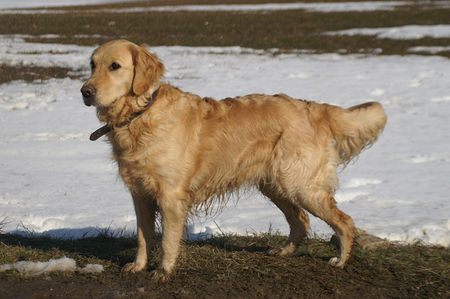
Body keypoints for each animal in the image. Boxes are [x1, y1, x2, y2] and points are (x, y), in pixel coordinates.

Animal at [81, 39, 386, 282]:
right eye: (92, 65)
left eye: (115, 66)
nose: (85, 91)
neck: (140, 114)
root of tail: (314, 107)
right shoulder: (140, 195)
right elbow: (143, 237)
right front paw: (138, 266)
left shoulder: (170, 196)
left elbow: (167, 240)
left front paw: (164, 271)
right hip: (276, 185)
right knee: (301, 221)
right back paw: (284, 251)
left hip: (302, 186)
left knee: (345, 221)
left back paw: (341, 260)